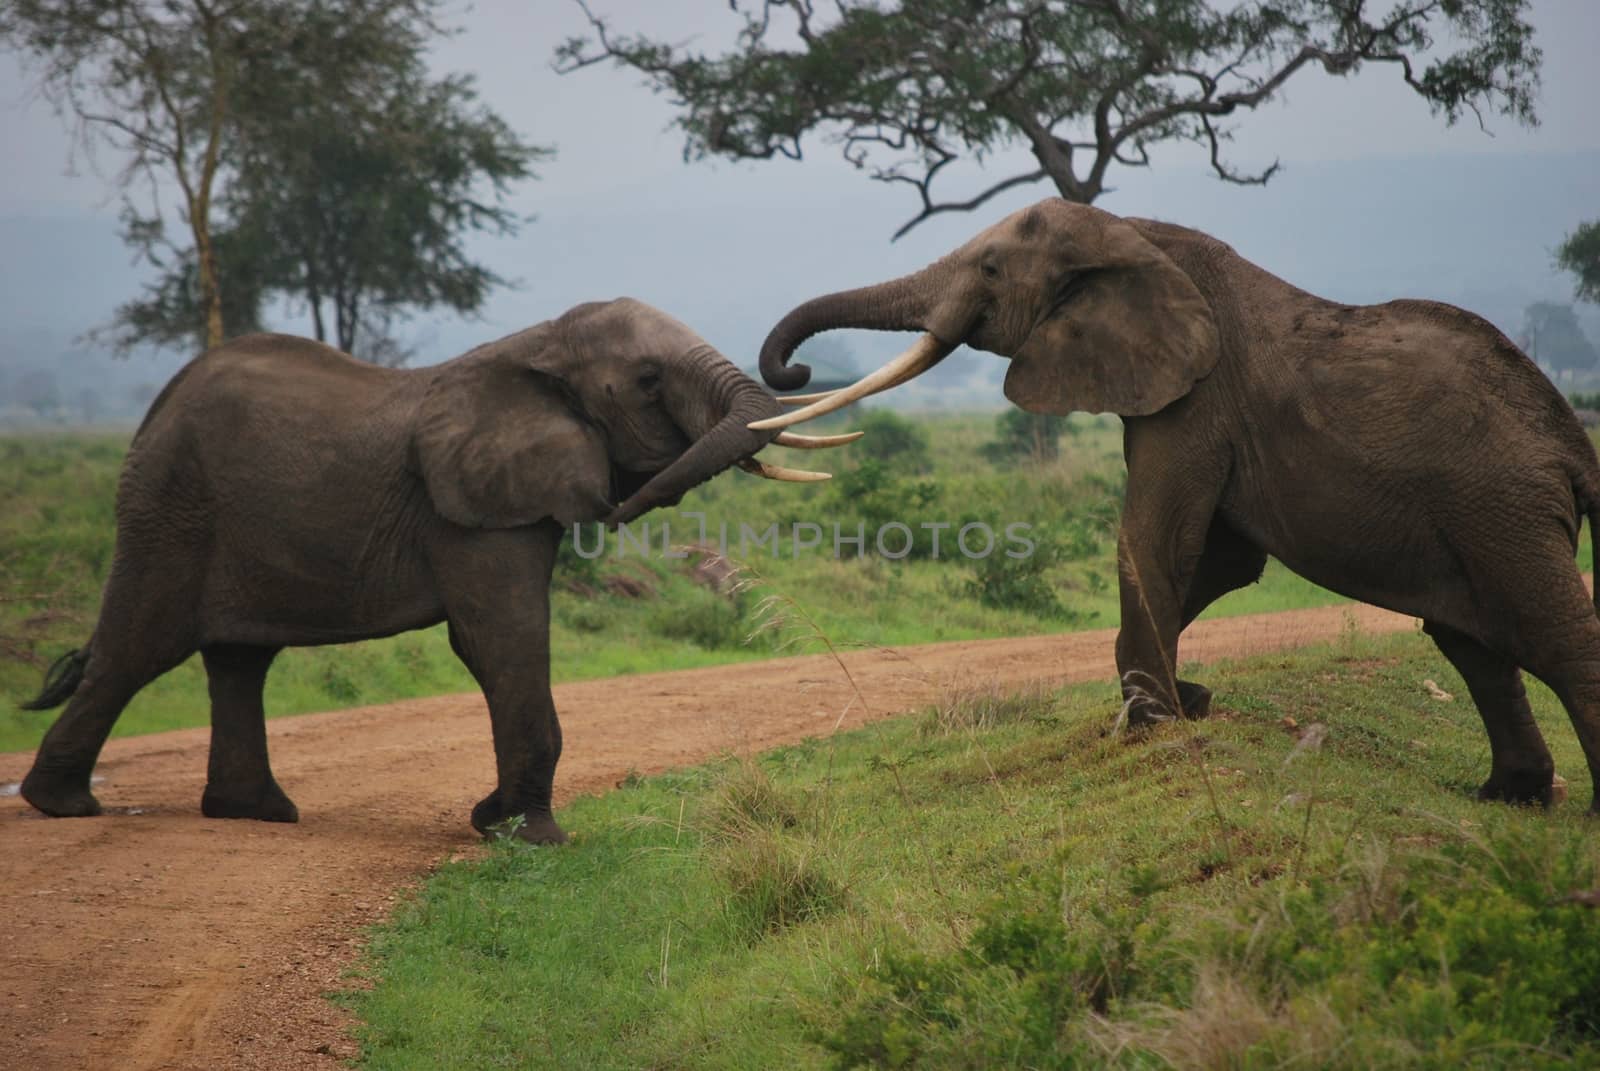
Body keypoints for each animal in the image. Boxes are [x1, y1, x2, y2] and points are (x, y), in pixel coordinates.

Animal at [752, 194, 1600, 810]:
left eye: (990, 267)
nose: (794, 371)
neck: (1137, 234)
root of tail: (1570, 439)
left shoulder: (1196, 401)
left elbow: (1156, 538)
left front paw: (1151, 720)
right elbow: (1220, 560)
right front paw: (1181, 702)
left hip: (1500, 503)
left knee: (1553, 636)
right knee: (1473, 645)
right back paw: (1506, 797)